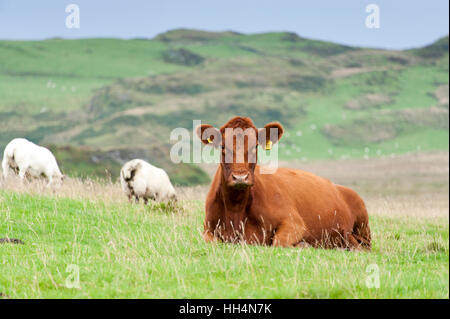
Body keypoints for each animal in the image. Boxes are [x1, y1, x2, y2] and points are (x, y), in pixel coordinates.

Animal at [197, 116, 372, 251]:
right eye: (223, 147)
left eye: (255, 147)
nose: (240, 177)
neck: (236, 209)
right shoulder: (207, 228)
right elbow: (210, 240)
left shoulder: (294, 222)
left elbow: (278, 242)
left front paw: (303, 245)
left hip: (362, 227)